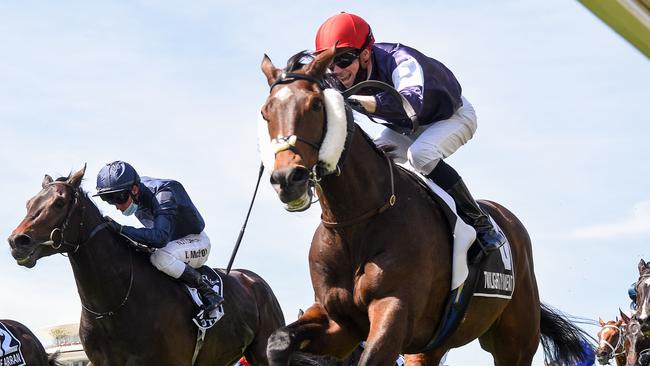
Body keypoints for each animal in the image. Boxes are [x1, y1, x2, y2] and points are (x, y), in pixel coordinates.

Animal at [5, 167, 284, 366]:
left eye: (59, 202)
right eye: (30, 202)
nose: (17, 241)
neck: (113, 306)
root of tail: (253, 279)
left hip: (263, 351)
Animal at [258, 47, 592, 364]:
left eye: (315, 104)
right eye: (265, 112)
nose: (287, 179)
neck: (356, 221)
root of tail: (508, 221)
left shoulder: (395, 312)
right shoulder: (339, 324)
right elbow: (277, 342)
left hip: (516, 341)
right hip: (432, 347)